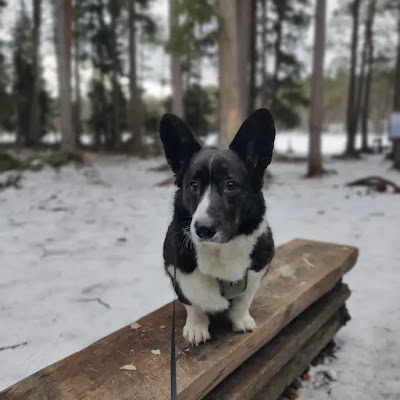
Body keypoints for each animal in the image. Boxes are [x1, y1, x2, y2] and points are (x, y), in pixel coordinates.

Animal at [160, 108, 275, 346]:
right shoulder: (176, 272)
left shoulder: (258, 271)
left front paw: (241, 320)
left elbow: (244, 300)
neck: (219, 250)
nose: (203, 229)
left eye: (230, 185)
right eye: (193, 185)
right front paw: (196, 328)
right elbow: (192, 304)